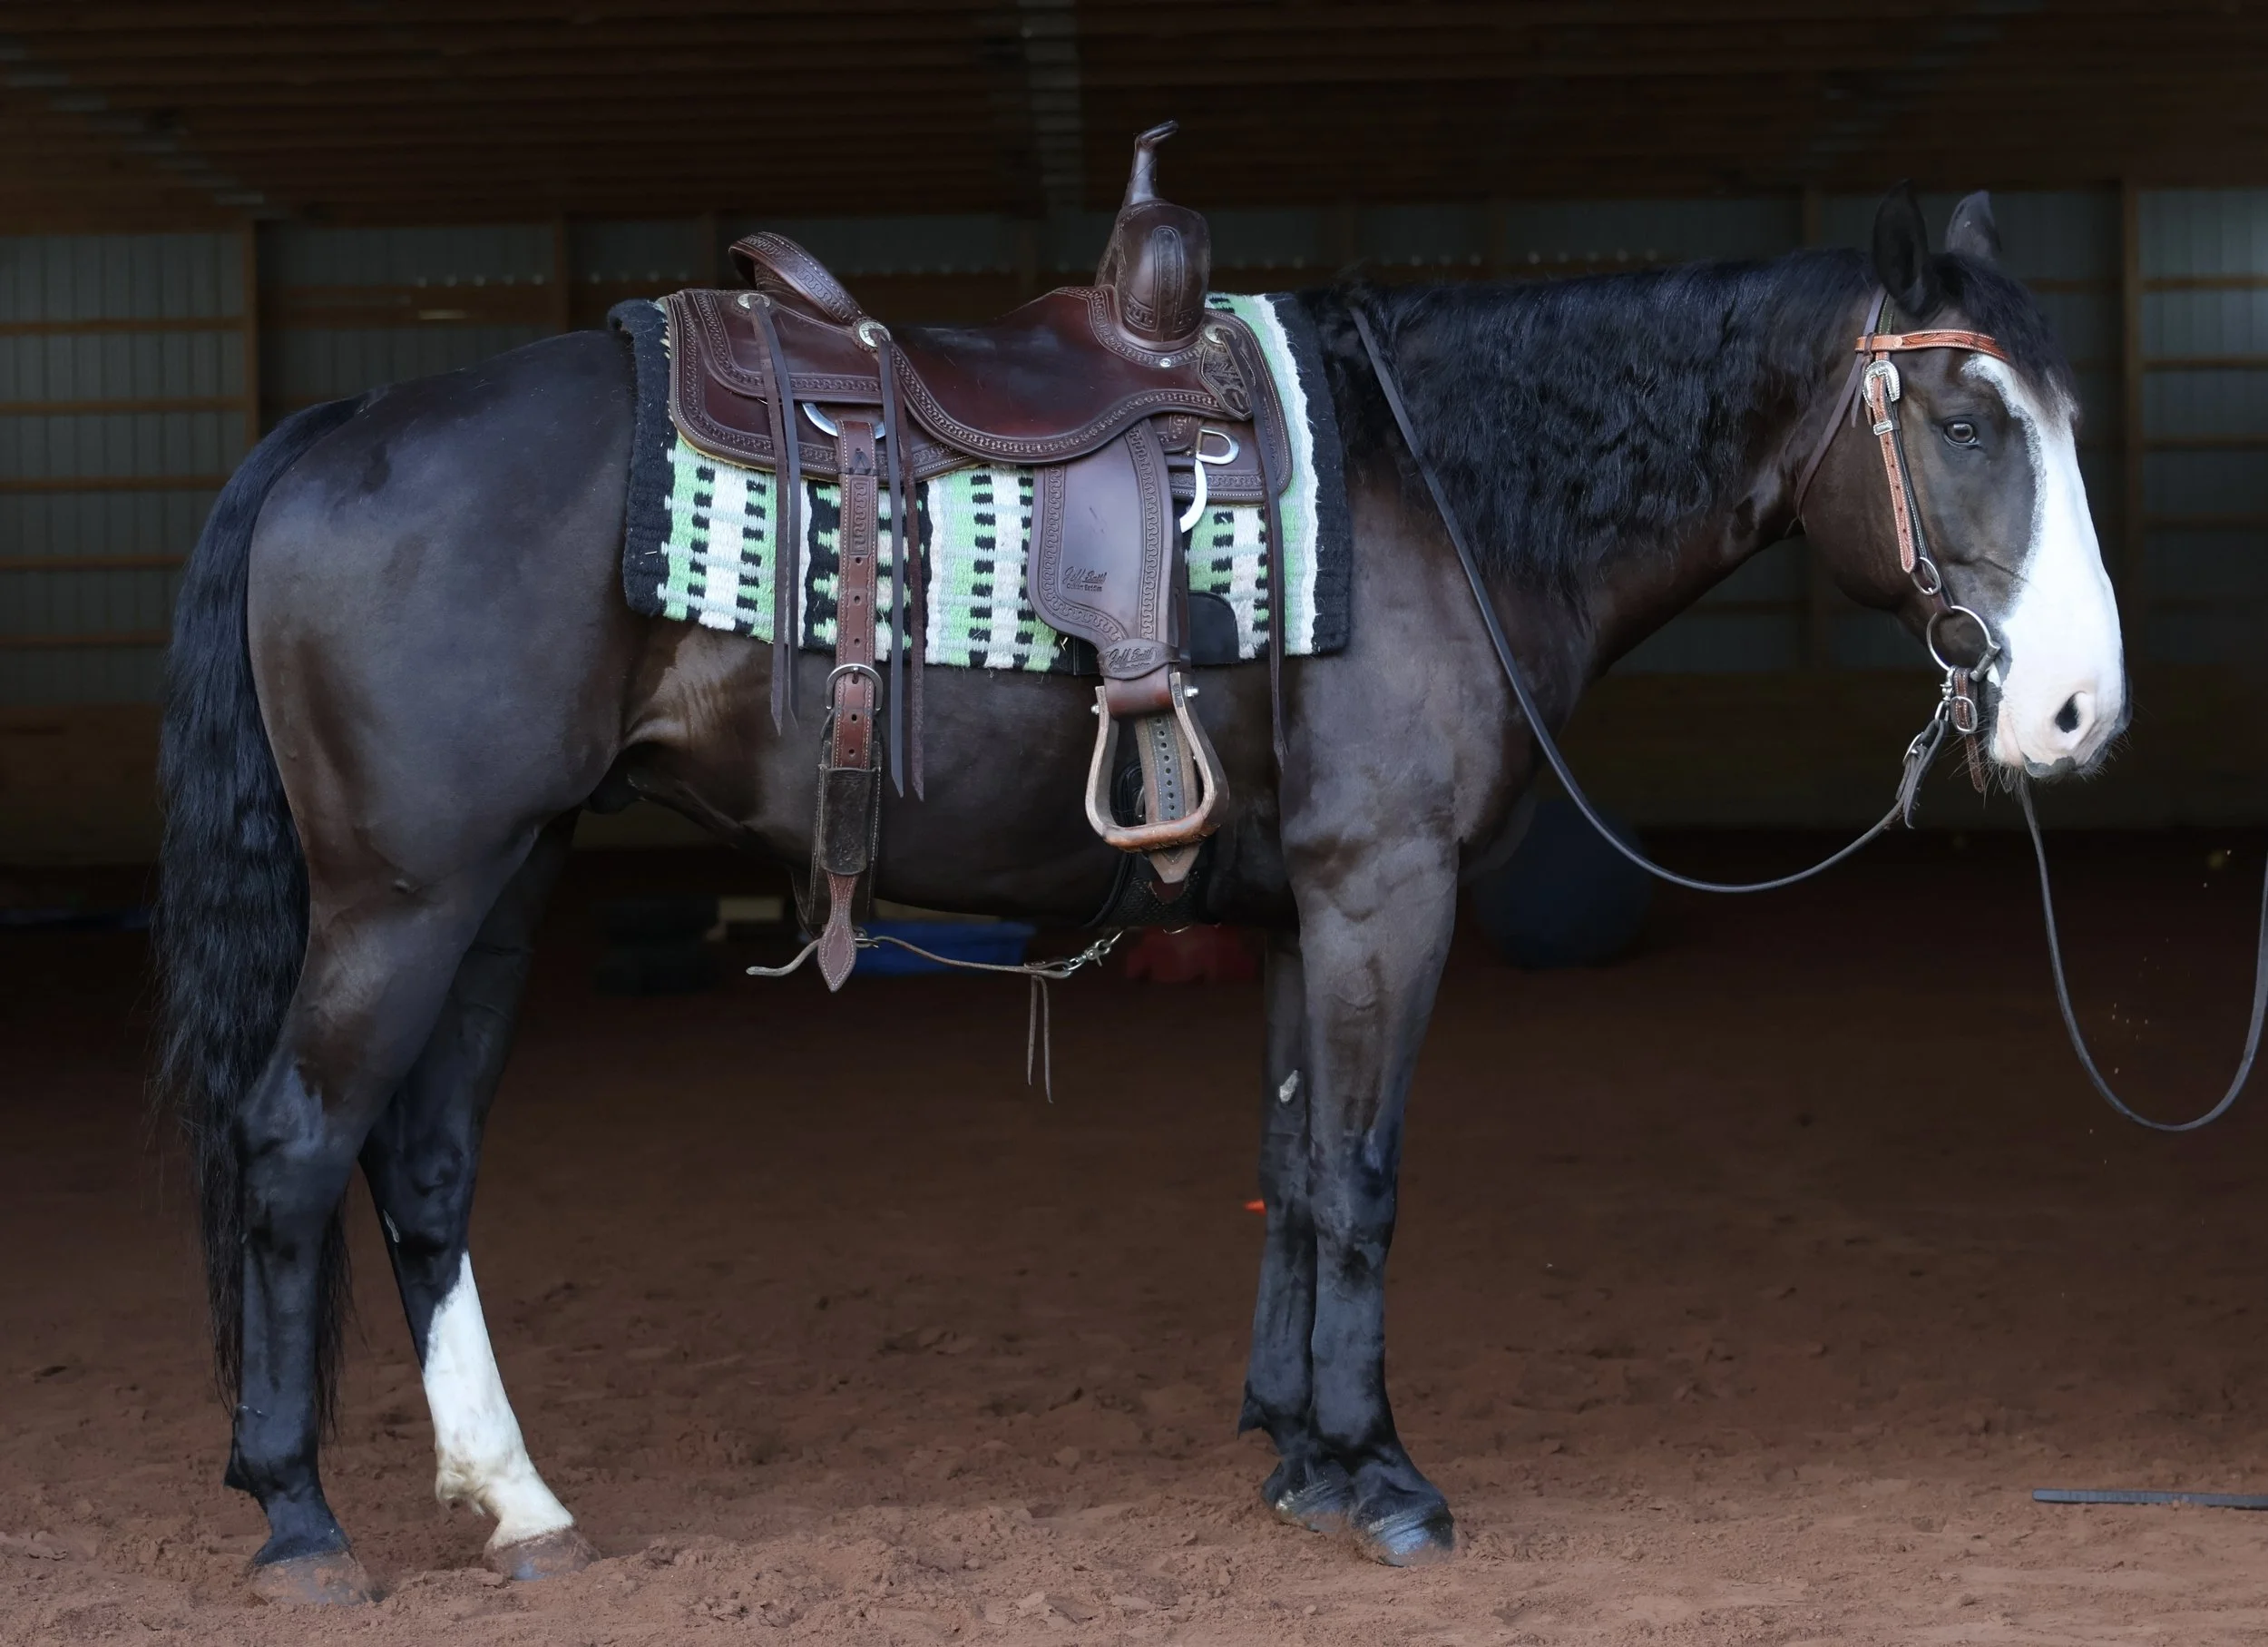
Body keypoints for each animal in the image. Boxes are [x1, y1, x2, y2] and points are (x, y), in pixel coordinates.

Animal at [153, 184, 2124, 1602]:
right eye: (1963, 419)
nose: (2072, 711)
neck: (1433, 491)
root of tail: (331, 422)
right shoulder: (1381, 893)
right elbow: (1363, 1177)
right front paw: (1381, 1479)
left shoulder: (1301, 911)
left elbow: (1294, 1170)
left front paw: (1300, 1456)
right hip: (405, 895)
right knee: (293, 1145)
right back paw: (299, 1521)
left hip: (505, 879)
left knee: (421, 1167)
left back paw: (517, 1500)